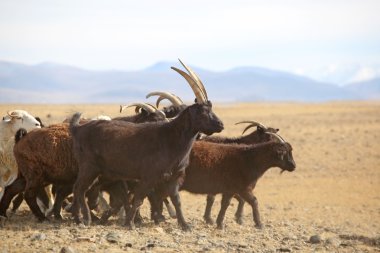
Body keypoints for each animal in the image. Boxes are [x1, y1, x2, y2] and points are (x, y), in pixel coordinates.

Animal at [69, 59, 223, 229]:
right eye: (203, 111)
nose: (220, 125)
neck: (170, 137)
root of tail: (78, 128)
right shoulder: (148, 177)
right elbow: (138, 199)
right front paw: (130, 223)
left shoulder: (173, 177)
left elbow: (176, 201)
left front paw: (184, 225)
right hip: (89, 167)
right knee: (79, 188)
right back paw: (85, 219)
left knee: (83, 189)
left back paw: (81, 218)